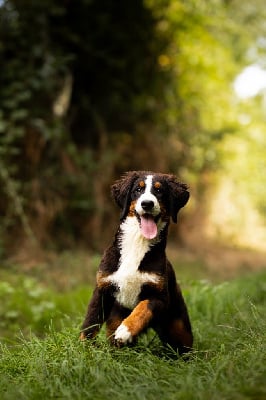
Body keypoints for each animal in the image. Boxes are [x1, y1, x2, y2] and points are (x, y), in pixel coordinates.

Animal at [80, 170, 192, 354]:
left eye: (159, 191)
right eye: (138, 190)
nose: (147, 203)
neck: (137, 242)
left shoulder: (160, 297)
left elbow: (143, 308)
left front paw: (125, 331)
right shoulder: (102, 288)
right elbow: (90, 322)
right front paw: (84, 348)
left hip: (180, 328)